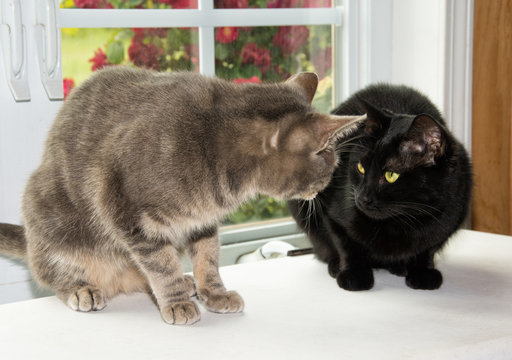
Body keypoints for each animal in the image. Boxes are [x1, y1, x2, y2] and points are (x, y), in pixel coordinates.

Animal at [0, 67, 362, 324]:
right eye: (330, 166)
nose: (323, 189)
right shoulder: (124, 210)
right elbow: (161, 267)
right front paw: (175, 302)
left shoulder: (201, 221)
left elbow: (208, 259)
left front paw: (213, 293)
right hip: (53, 223)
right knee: (52, 273)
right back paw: (82, 288)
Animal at [288, 83, 472, 290]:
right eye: (361, 167)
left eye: (391, 175)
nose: (362, 198)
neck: (401, 221)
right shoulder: (331, 213)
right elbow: (346, 244)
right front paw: (355, 275)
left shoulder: (450, 216)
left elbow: (427, 249)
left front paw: (422, 272)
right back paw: (336, 265)